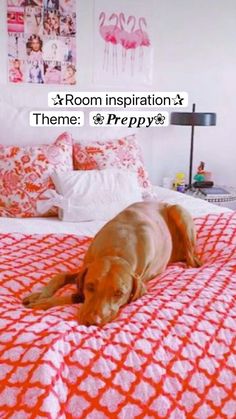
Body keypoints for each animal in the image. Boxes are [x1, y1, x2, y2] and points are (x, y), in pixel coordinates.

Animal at [23, 202, 201, 326]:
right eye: (90, 286)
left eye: (119, 293)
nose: (92, 321)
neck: (117, 249)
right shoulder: (85, 268)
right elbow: (60, 275)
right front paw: (40, 294)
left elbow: (76, 296)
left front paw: (45, 302)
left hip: (179, 212)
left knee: (193, 258)